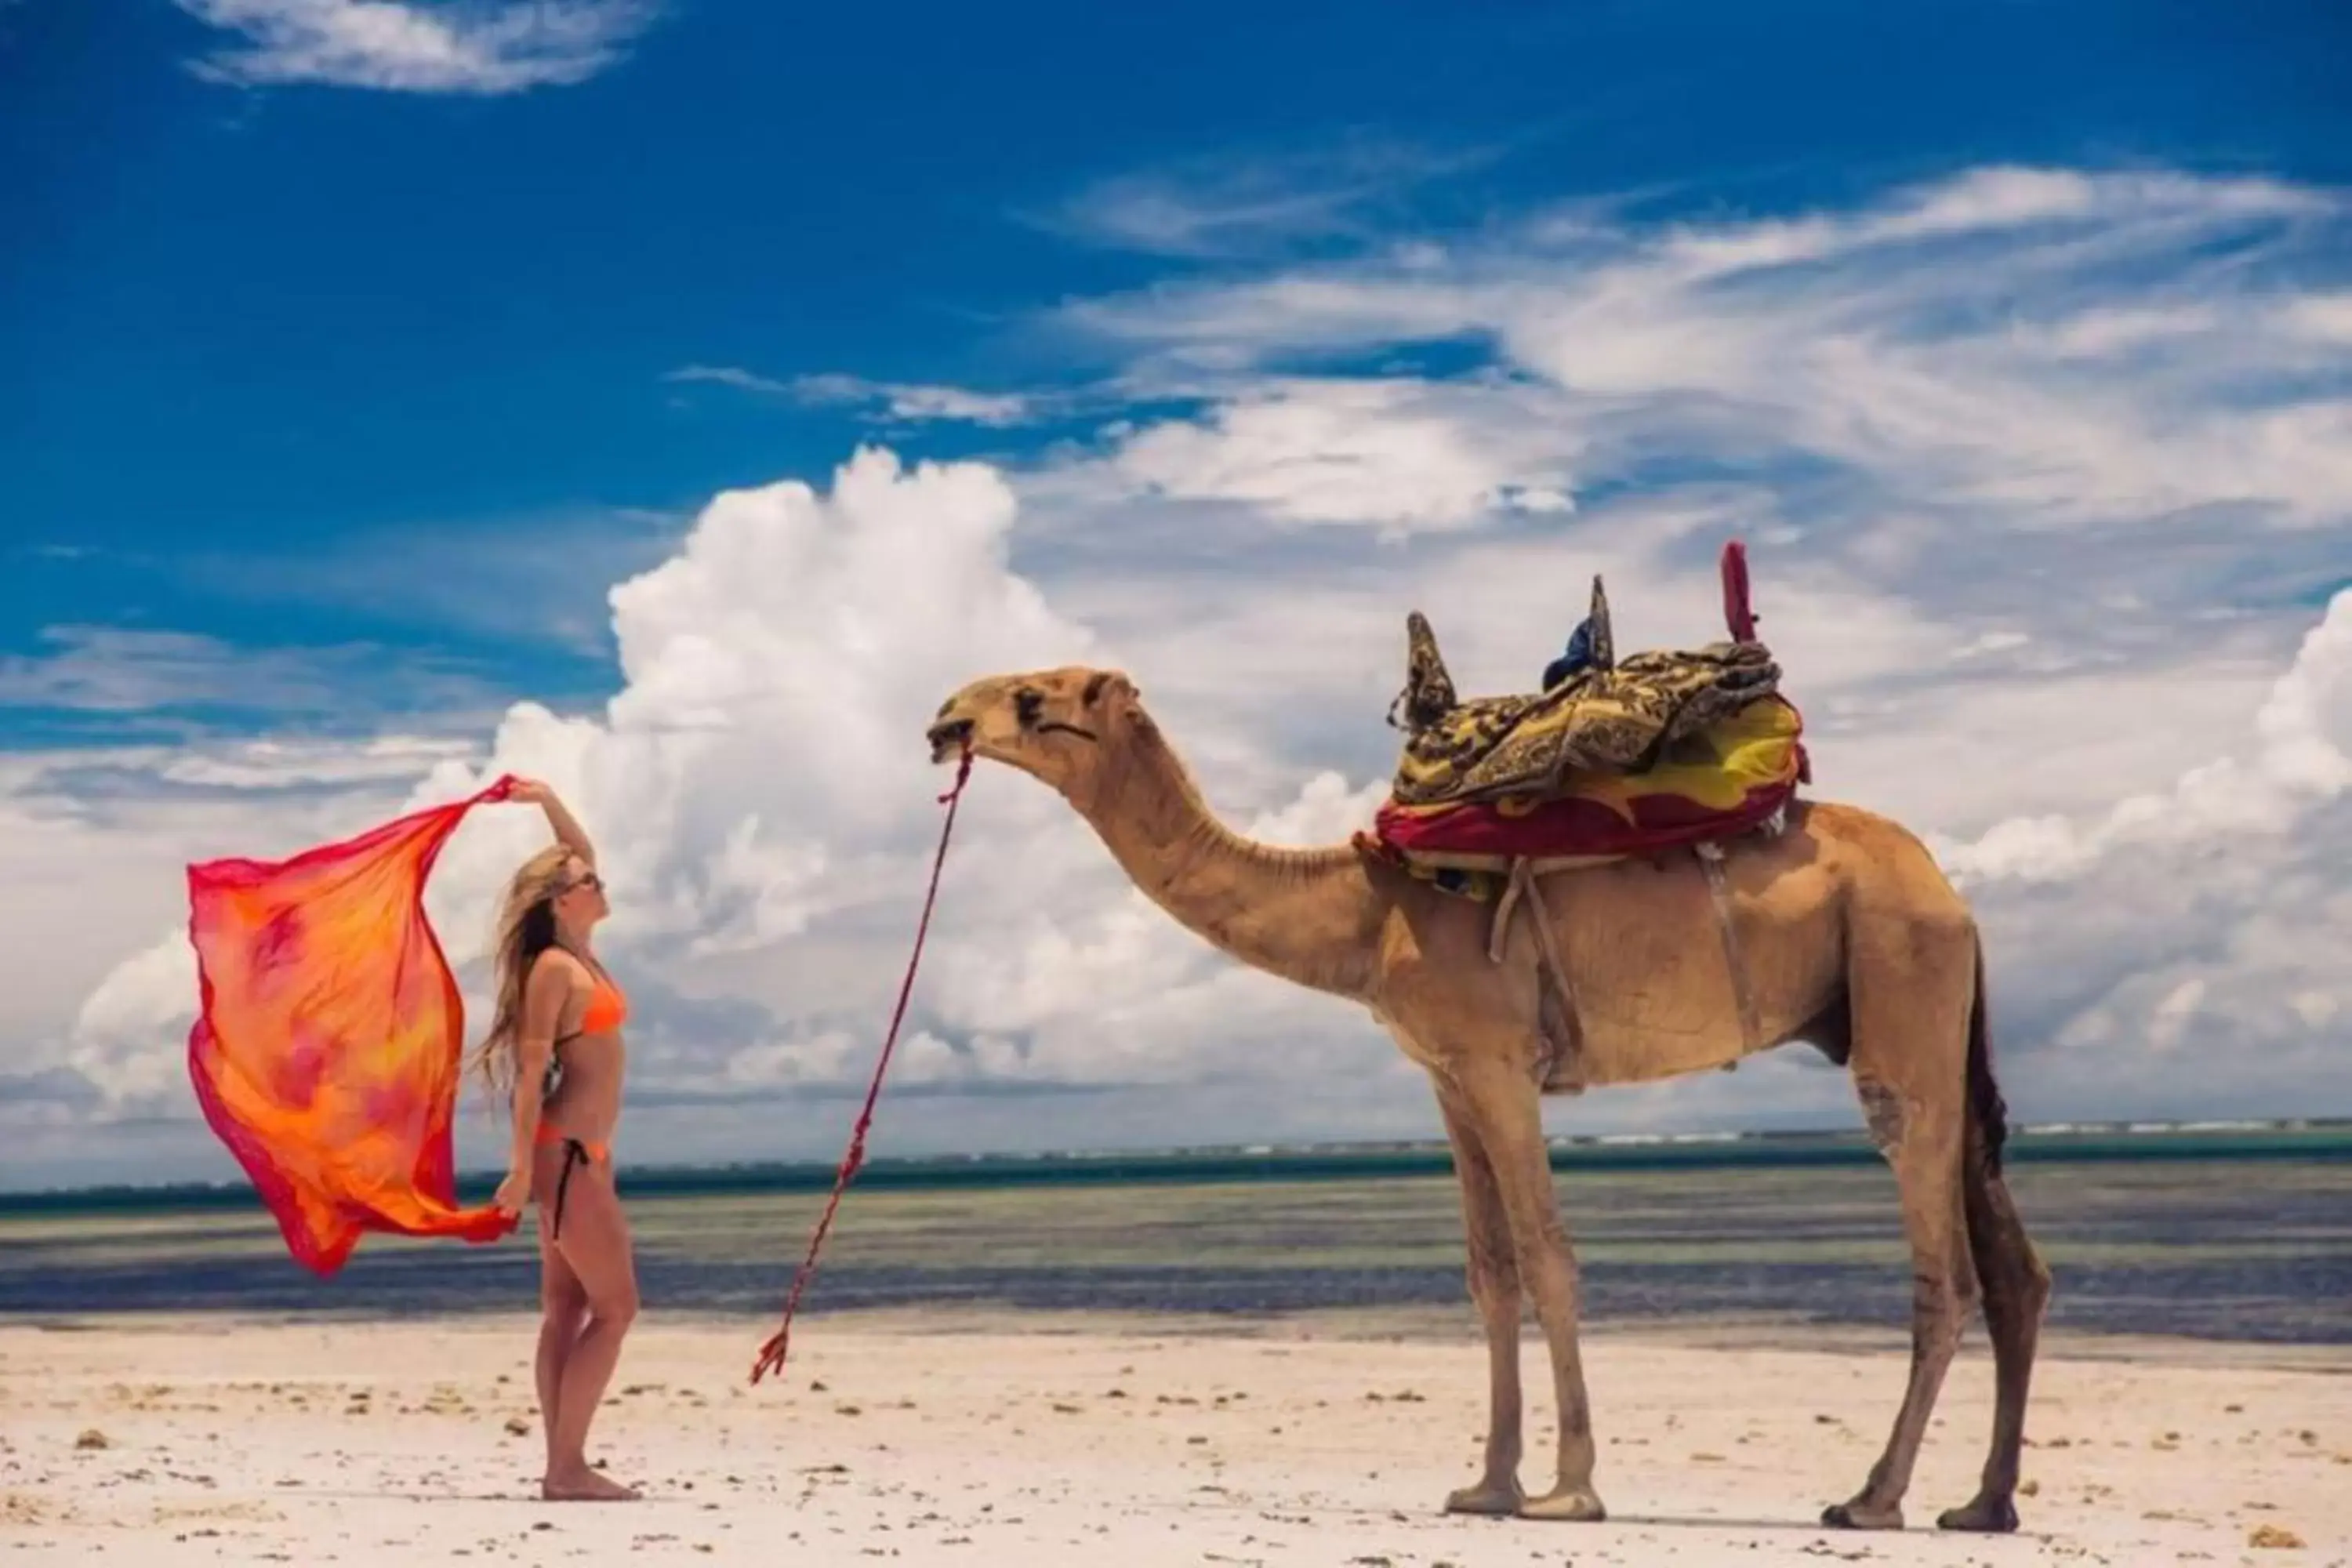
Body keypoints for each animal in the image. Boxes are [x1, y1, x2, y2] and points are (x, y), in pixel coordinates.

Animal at [927, 662, 2051, 1533]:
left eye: (1032, 697)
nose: (944, 722)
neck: (1364, 910)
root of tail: (1953, 896)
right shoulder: (1451, 1075)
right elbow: (1491, 1272)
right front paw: (1488, 1484)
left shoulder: (1503, 1061)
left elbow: (1549, 1257)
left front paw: (1570, 1489)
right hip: (1927, 1013)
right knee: (2012, 1265)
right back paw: (1983, 1503)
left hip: (1899, 981)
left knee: (1940, 1252)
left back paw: (1873, 1497)